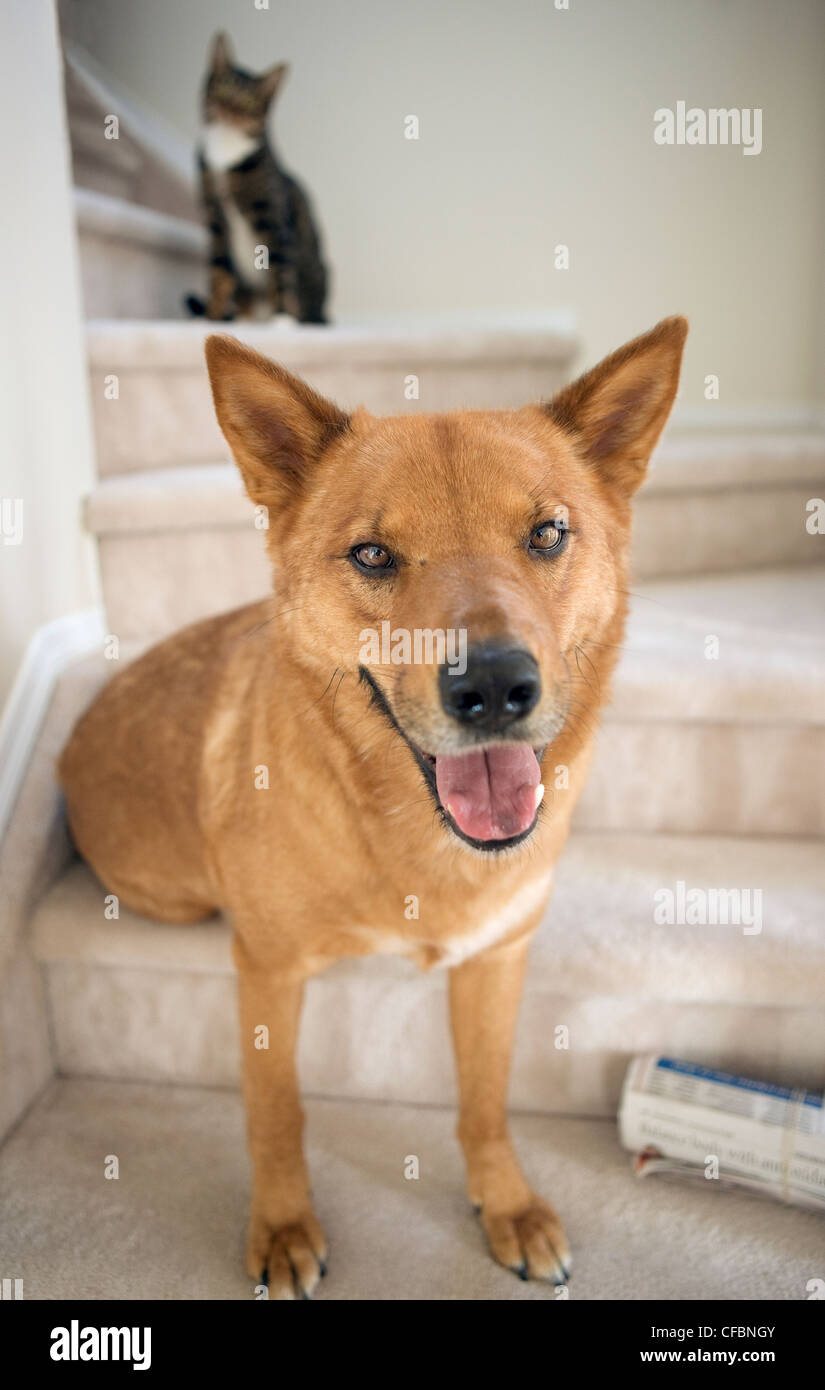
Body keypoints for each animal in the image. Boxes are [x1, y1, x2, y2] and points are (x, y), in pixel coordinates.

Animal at [61, 312, 683, 1289]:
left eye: (547, 534)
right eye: (372, 554)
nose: (493, 687)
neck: (412, 837)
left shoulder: (496, 959)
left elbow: (485, 1100)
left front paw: (504, 1204)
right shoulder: (269, 975)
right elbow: (277, 1114)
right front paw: (282, 1226)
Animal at [186, 33, 327, 326]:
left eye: (250, 102)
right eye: (223, 89)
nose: (230, 110)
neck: (225, 149)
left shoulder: (273, 216)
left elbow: (279, 269)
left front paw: (283, 319)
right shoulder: (215, 218)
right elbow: (219, 270)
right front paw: (213, 314)